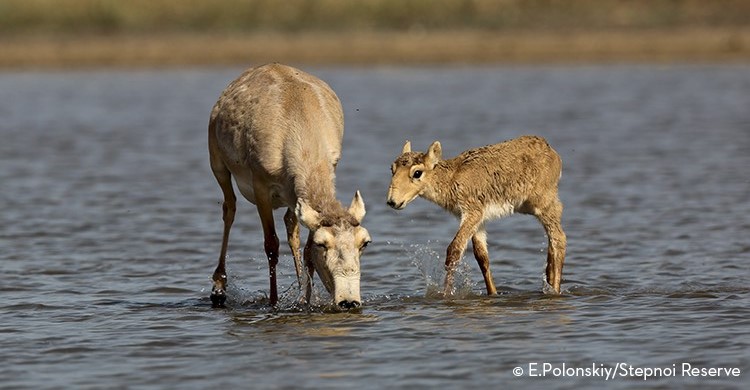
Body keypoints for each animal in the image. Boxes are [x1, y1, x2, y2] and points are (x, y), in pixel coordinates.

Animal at [207, 63, 372, 308]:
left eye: (364, 243)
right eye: (323, 244)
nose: (349, 301)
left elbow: (305, 248)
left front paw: (305, 300)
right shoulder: (261, 186)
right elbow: (271, 245)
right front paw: (274, 302)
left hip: (291, 196)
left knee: (290, 225)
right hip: (217, 163)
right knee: (229, 208)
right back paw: (218, 289)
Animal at [390, 136, 568, 294]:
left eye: (417, 173)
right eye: (392, 169)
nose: (392, 201)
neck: (451, 178)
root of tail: (552, 152)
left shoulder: (472, 212)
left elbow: (454, 250)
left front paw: (446, 293)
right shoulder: (477, 220)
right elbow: (482, 257)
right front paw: (493, 293)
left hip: (544, 204)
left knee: (559, 239)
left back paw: (555, 289)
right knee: (551, 242)